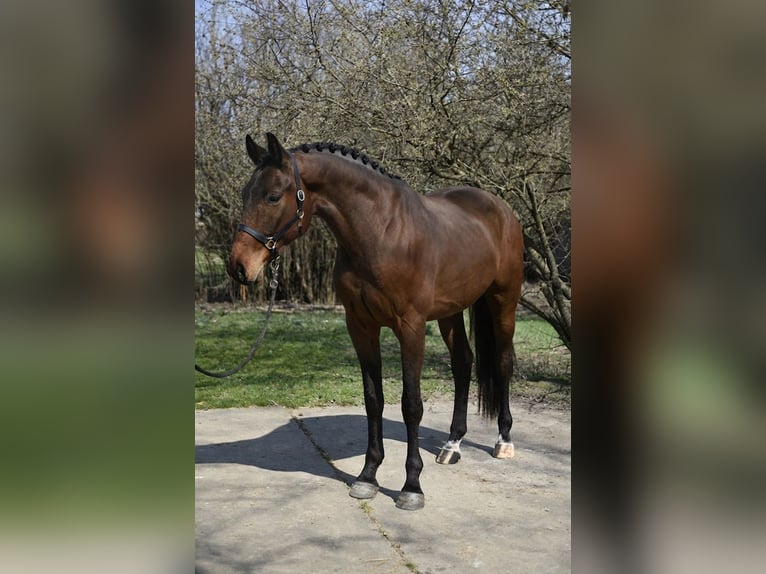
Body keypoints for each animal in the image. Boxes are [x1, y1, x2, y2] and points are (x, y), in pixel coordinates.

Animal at [228, 133, 524, 510]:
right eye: (244, 194)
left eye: (273, 196)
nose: (238, 266)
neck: (382, 233)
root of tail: (499, 208)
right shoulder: (360, 326)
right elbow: (374, 400)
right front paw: (368, 477)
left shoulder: (410, 328)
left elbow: (411, 405)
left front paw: (412, 486)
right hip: (451, 312)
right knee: (463, 363)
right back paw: (452, 445)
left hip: (503, 301)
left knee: (502, 362)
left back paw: (504, 441)